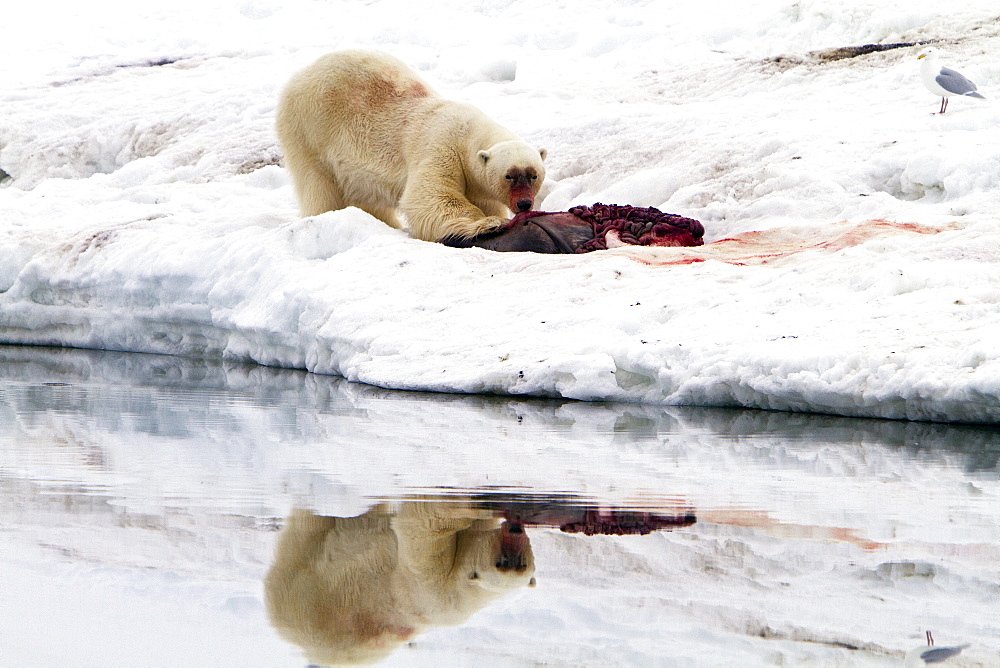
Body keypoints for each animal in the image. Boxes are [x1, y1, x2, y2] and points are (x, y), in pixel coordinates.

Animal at [262, 504, 536, 664]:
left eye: (521, 563)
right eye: (502, 562)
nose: (515, 530)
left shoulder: (432, 582)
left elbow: (423, 525)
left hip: (306, 591)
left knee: (310, 527)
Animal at [274, 50, 548, 243]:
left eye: (534, 175)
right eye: (509, 176)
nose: (524, 204)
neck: (468, 133)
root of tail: (301, 74)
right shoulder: (440, 147)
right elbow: (429, 197)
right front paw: (489, 223)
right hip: (309, 131)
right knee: (319, 186)